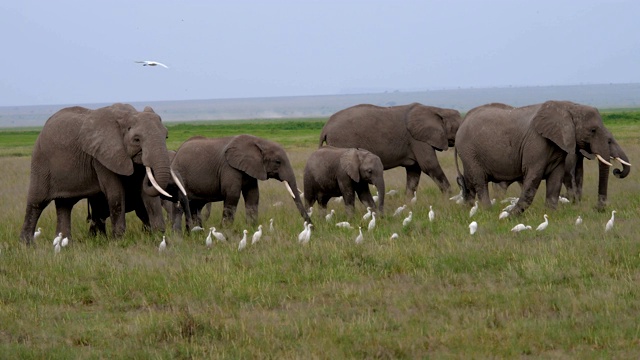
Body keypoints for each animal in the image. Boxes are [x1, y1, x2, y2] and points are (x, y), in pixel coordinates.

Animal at [19, 104, 185, 245]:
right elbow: (115, 194)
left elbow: (148, 196)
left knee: (65, 205)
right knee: (37, 202)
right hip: (41, 162)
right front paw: (118, 240)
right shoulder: (101, 157)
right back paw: (27, 245)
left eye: (166, 137)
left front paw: (158, 236)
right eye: (136, 140)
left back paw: (66, 245)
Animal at [169, 134, 312, 229]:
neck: (258, 142)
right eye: (278, 162)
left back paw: (198, 231)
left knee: (195, 206)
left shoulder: (251, 169)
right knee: (183, 206)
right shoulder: (229, 167)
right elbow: (232, 195)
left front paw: (252, 228)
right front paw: (226, 230)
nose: (312, 226)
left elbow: (253, 195)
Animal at [318, 102, 460, 197]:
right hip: (342, 142)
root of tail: (325, 127)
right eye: (459, 127)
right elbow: (429, 166)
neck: (437, 110)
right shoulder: (418, 140)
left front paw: (408, 203)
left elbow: (414, 171)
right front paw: (450, 198)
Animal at [456, 100, 620, 215]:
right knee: (479, 181)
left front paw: (551, 213)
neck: (568, 106)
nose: (598, 208)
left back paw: (467, 208)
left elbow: (555, 180)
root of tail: (463, 121)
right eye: (593, 130)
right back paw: (488, 211)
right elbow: (533, 177)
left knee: (469, 181)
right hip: (469, 151)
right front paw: (510, 216)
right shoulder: (536, 143)